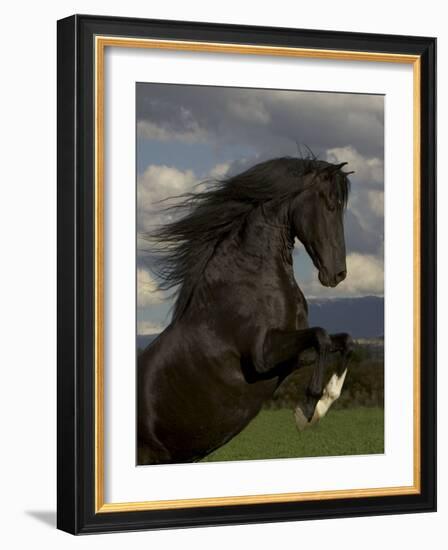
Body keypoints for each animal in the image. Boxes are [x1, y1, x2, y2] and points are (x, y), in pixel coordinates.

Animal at [138, 155, 356, 466]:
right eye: (330, 204)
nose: (337, 274)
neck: (250, 279)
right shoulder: (262, 356)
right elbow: (322, 336)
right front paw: (306, 414)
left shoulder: (294, 356)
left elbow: (344, 341)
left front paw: (320, 406)